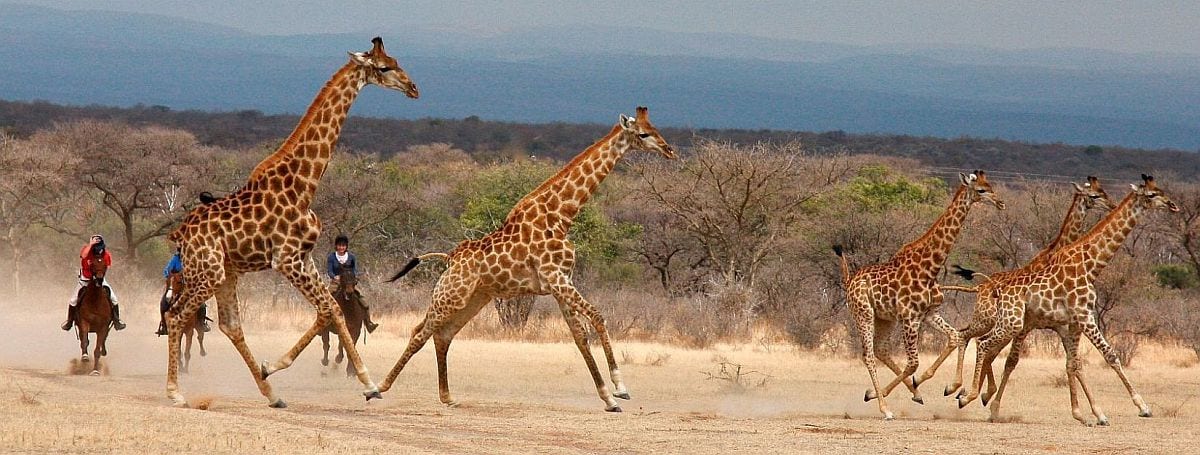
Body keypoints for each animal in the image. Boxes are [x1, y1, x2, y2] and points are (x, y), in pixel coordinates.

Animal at [162, 37, 420, 408]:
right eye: (384, 67)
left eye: (397, 61)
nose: (413, 88)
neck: (304, 184)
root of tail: (180, 233)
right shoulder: (286, 259)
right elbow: (327, 309)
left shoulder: (305, 256)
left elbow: (332, 310)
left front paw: (369, 385)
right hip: (206, 271)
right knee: (176, 316)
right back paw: (176, 392)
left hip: (226, 272)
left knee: (230, 325)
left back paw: (272, 395)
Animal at [376, 108, 672, 412]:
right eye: (643, 134)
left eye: (655, 128)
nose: (669, 150)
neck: (561, 217)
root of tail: (449, 258)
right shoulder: (556, 278)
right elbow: (598, 317)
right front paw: (620, 388)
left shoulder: (561, 281)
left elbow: (580, 337)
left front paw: (608, 398)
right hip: (451, 295)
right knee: (419, 332)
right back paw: (377, 388)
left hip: (473, 299)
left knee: (442, 334)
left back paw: (447, 396)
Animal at [840, 170, 1008, 420]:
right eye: (981, 190)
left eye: (990, 185)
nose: (1001, 203)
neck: (930, 268)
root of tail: (850, 281)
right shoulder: (910, 317)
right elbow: (913, 363)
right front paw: (913, 385)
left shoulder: (929, 313)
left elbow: (955, 337)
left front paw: (948, 387)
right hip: (864, 314)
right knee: (868, 355)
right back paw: (885, 407)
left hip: (885, 318)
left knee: (880, 349)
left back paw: (904, 394)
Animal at [912, 177, 1118, 398]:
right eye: (1095, 195)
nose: (1112, 206)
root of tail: (980, 287)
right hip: (988, 320)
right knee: (969, 337)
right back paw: (958, 388)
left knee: (973, 340)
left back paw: (966, 390)